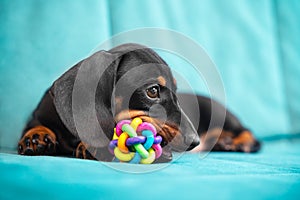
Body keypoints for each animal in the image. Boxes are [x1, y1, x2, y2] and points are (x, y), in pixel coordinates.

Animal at [17, 43, 258, 162]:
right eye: (152, 91)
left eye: (177, 90)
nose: (194, 141)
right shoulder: (38, 114)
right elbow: (35, 125)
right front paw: (36, 136)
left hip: (221, 115)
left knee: (249, 133)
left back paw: (238, 143)